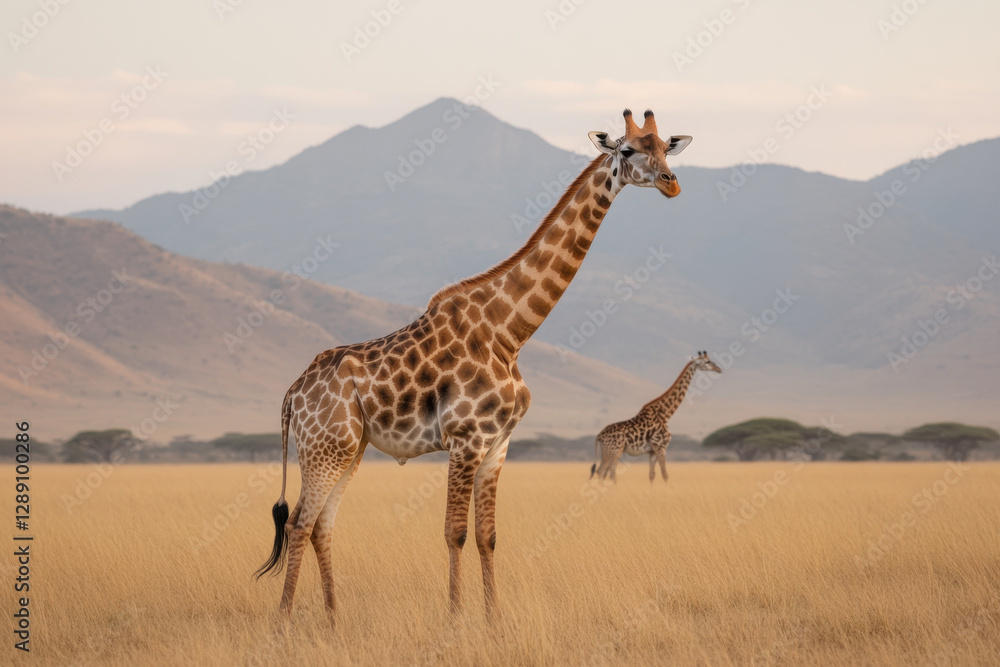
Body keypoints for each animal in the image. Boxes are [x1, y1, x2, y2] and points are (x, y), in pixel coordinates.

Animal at [254, 108, 693, 625]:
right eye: (627, 150)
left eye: (665, 147)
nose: (671, 184)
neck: (510, 332)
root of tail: (292, 394)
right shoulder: (466, 439)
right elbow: (455, 531)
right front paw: (455, 618)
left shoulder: (498, 443)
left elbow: (488, 535)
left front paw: (494, 618)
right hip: (324, 448)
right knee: (300, 521)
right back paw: (285, 621)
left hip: (348, 448)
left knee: (322, 523)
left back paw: (333, 619)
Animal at [591, 351, 721, 483]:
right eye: (707, 361)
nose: (719, 369)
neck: (665, 414)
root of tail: (599, 435)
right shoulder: (660, 446)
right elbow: (665, 474)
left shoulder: (652, 451)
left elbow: (652, 475)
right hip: (614, 452)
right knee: (607, 473)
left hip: (609, 452)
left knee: (603, 472)